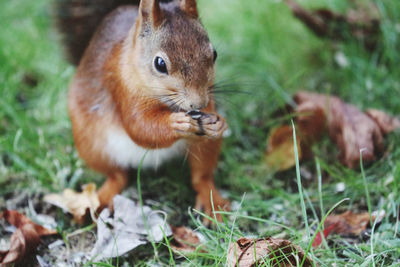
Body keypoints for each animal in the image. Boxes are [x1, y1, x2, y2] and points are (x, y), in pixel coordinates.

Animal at [57, 0, 230, 222]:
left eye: (214, 54)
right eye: (160, 64)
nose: (197, 104)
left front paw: (219, 123)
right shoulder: (121, 87)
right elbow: (140, 128)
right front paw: (177, 123)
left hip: (205, 147)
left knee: (202, 177)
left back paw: (213, 202)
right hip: (91, 146)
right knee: (118, 176)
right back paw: (98, 199)